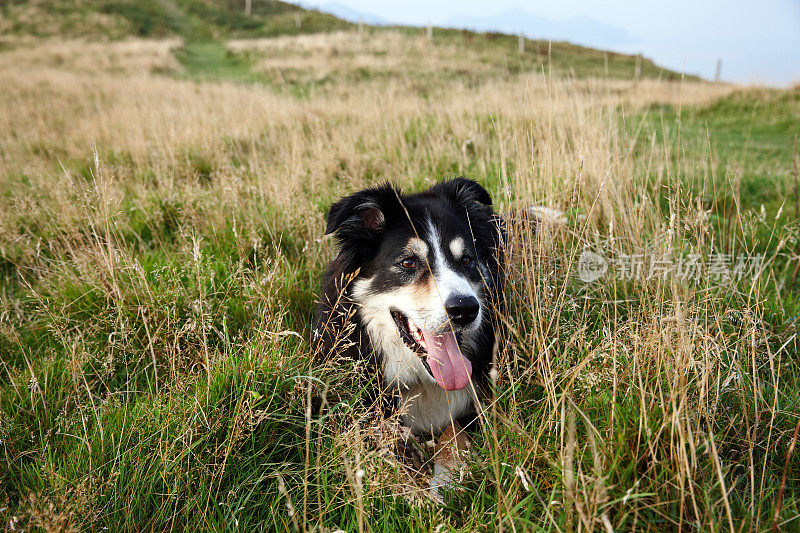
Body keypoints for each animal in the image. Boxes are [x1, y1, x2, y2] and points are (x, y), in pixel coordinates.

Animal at [310, 179, 504, 490]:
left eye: (466, 260)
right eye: (408, 263)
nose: (465, 309)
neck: (422, 380)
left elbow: (453, 432)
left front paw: (444, 480)